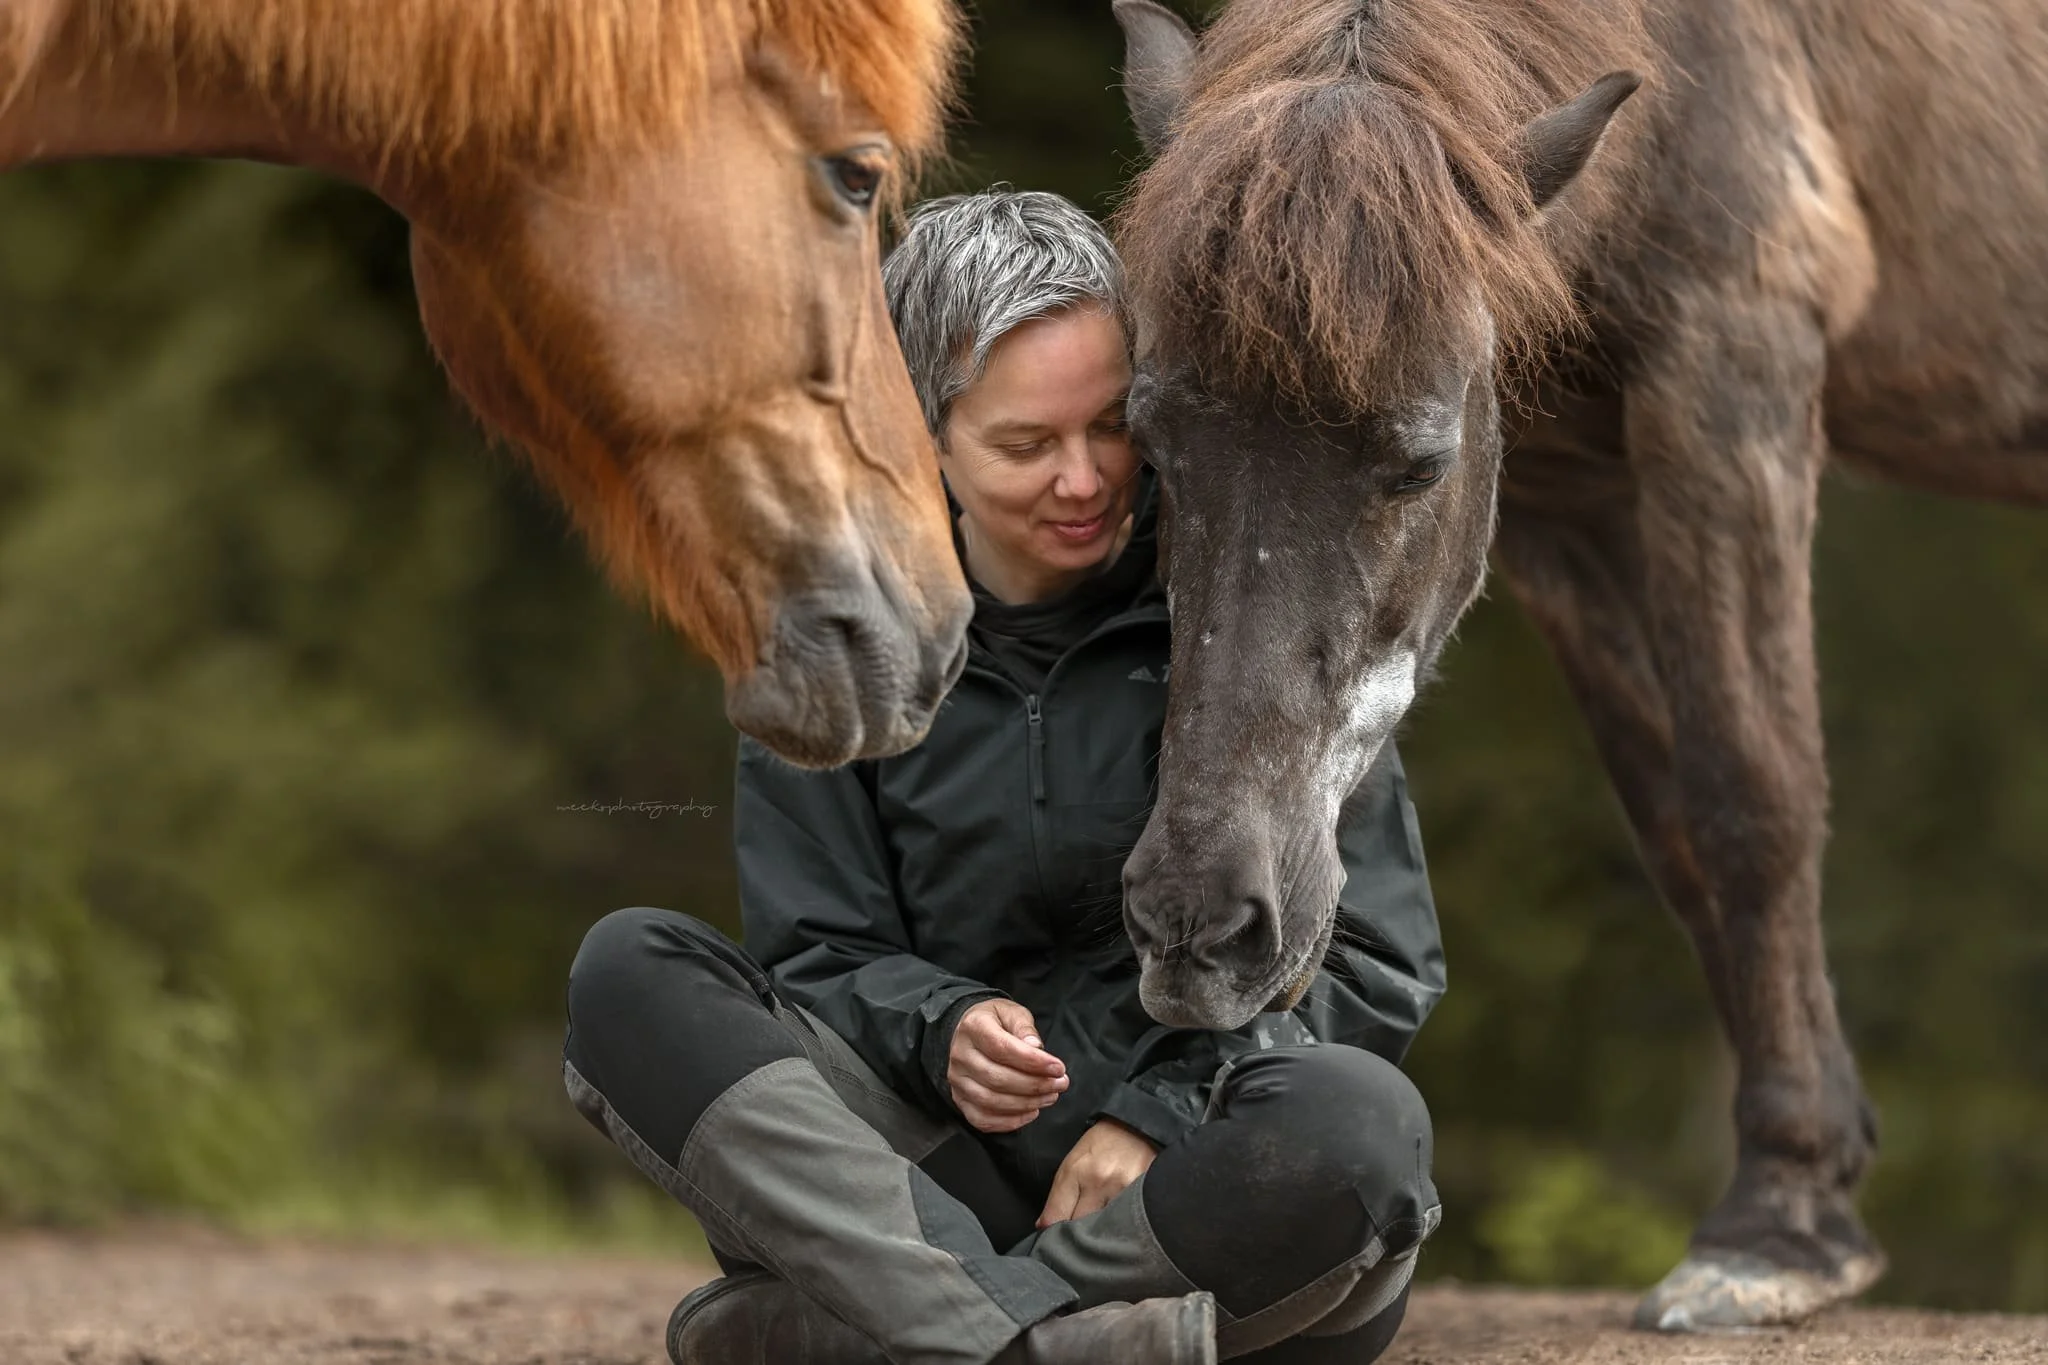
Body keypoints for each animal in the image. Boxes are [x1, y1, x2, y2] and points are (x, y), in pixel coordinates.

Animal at [1107, 0, 2048, 1333]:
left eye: (1421, 461)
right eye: (1148, 443)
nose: (1197, 926)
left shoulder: (1729, 381)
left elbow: (1751, 797)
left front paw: (1776, 1227)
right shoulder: (1569, 503)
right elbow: (1679, 829)